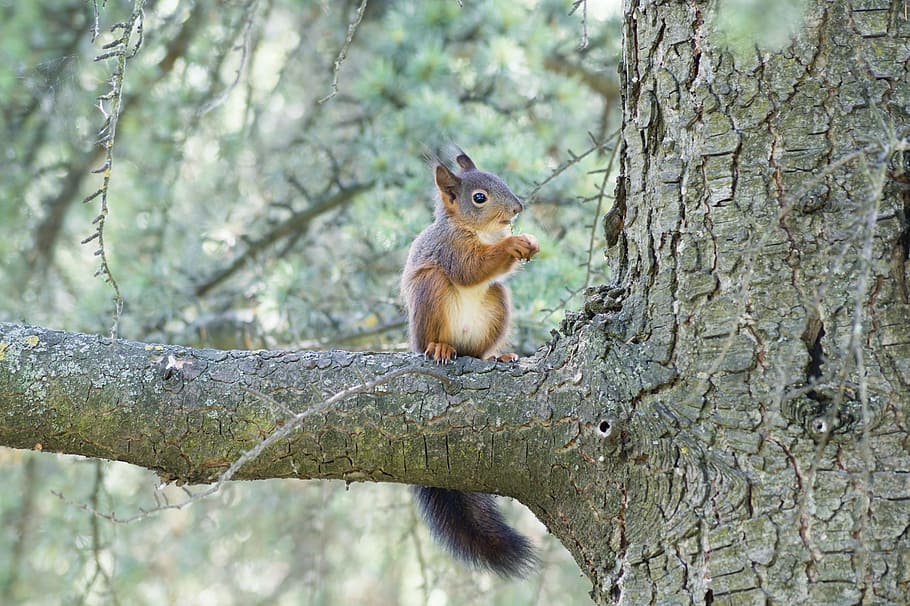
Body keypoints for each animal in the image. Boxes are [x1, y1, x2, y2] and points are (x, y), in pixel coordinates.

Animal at [401, 149, 539, 577]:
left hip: (498, 302)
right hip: (431, 291)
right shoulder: (450, 249)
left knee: (479, 348)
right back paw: (440, 349)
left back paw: (498, 354)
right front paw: (514, 244)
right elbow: (471, 268)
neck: (478, 231)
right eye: (479, 198)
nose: (518, 208)